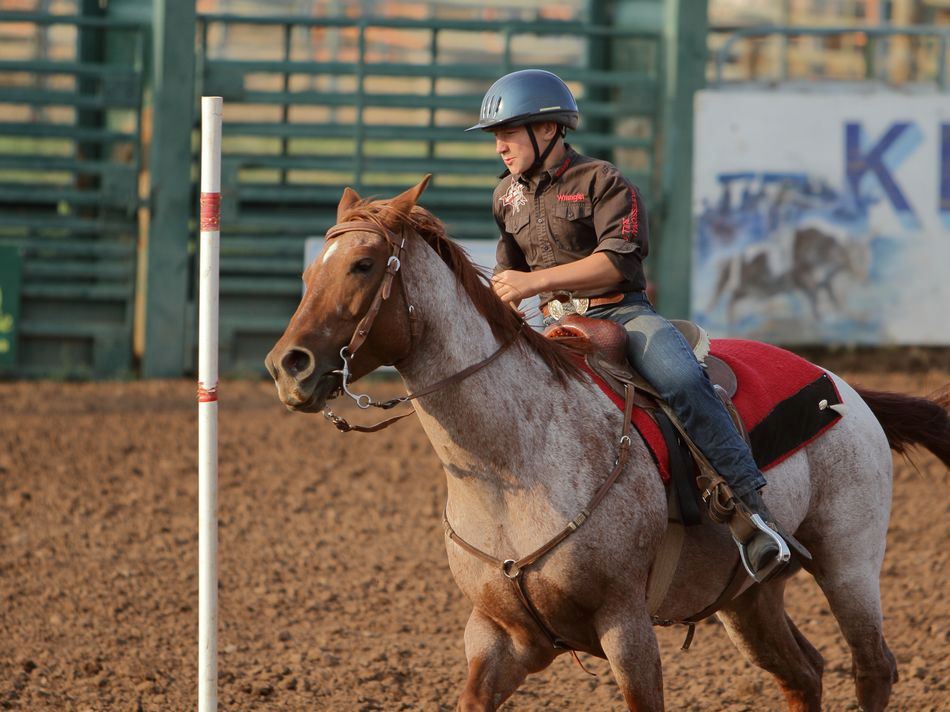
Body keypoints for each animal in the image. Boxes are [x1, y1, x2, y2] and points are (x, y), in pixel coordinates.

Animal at [265, 176, 950, 711]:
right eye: (307, 272)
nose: (287, 366)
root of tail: (841, 387)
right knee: (805, 674)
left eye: (362, 265)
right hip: (749, 600)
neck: (511, 467)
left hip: (849, 561)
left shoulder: (627, 626)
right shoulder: (497, 636)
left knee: (873, 667)